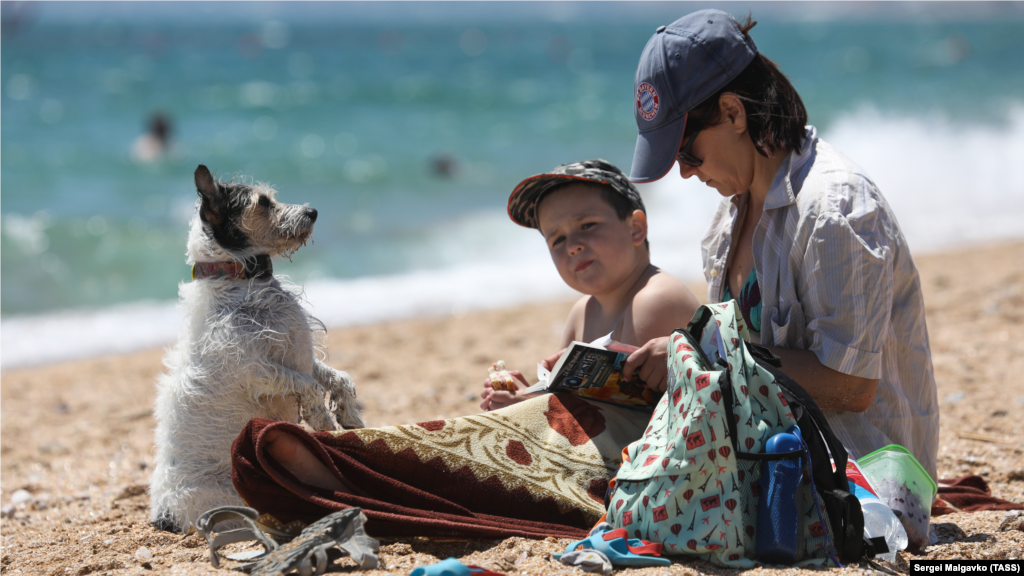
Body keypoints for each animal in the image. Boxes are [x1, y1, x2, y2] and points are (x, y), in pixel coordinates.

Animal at [148, 163, 364, 532]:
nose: (313, 212)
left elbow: (339, 377)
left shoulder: (301, 355)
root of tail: (164, 513)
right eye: (262, 202)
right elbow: (308, 385)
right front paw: (320, 416)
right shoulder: (257, 371)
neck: (239, 277)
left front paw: (349, 414)